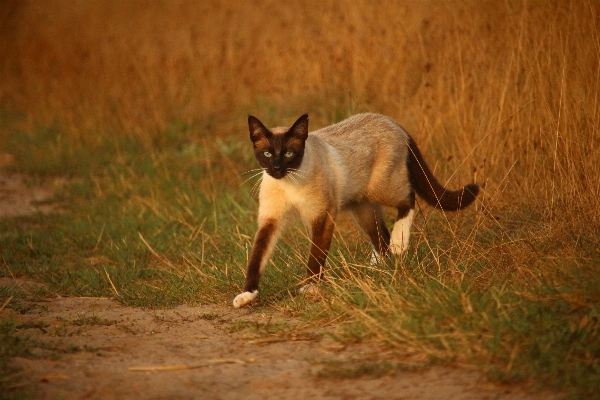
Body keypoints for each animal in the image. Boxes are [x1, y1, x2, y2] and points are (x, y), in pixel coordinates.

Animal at [232, 114, 480, 308]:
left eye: (288, 155)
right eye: (267, 154)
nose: (276, 168)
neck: (289, 182)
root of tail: (393, 122)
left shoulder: (322, 217)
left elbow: (315, 257)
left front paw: (310, 288)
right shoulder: (271, 221)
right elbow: (256, 259)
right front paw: (247, 296)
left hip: (380, 189)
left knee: (409, 200)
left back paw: (399, 245)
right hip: (363, 209)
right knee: (381, 237)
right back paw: (376, 268)